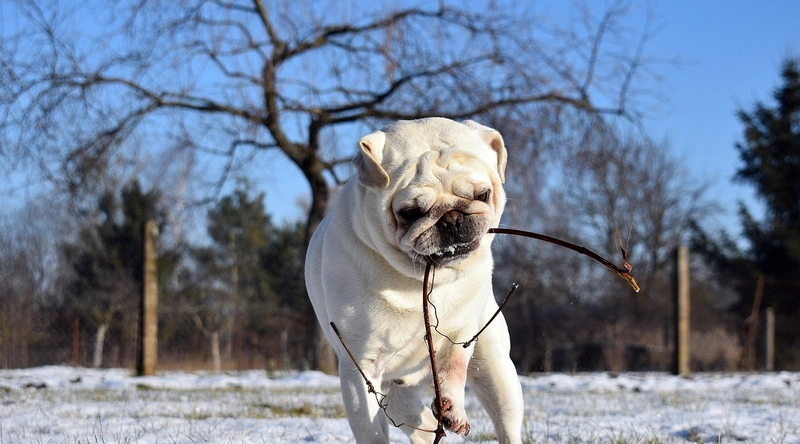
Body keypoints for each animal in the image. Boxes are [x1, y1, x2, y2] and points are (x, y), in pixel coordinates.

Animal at [305, 118, 523, 443]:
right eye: (410, 212)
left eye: (482, 195)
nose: (452, 218)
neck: (416, 276)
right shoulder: (360, 367)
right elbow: (371, 429)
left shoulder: (460, 335)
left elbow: (453, 366)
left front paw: (454, 406)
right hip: (395, 398)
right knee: (418, 423)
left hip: (496, 371)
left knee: (505, 420)